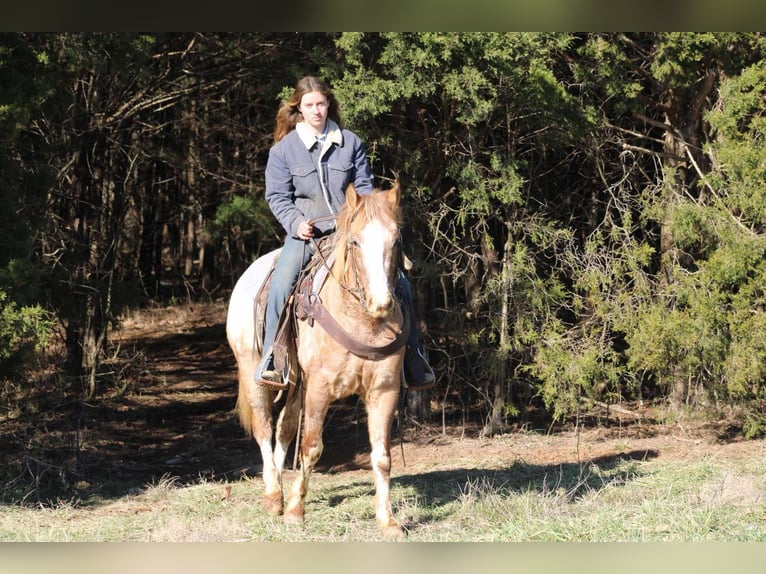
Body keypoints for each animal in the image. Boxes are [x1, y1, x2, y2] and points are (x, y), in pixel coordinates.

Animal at [226, 182, 407, 538]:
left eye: (396, 240)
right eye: (355, 241)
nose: (381, 303)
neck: (360, 319)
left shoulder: (384, 390)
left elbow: (382, 456)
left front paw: (388, 521)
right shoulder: (321, 388)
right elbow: (311, 446)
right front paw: (296, 510)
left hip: (297, 383)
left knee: (284, 429)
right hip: (254, 372)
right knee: (264, 428)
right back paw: (274, 496)